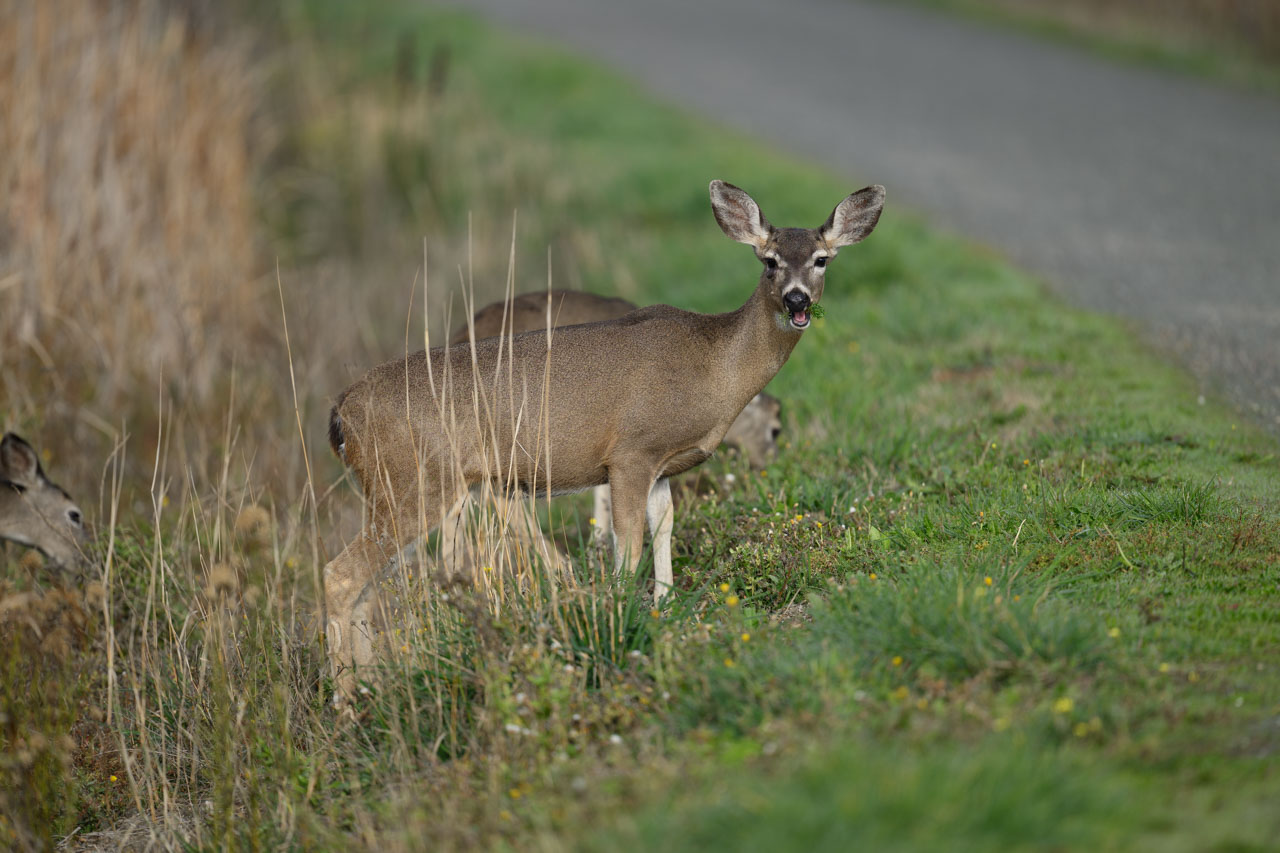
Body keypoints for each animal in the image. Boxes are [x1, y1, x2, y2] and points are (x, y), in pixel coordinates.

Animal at [323, 180, 885, 697]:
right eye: (769, 261)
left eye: (821, 260)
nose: (797, 300)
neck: (713, 366)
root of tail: (342, 413)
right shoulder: (631, 451)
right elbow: (627, 542)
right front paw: (617, 613)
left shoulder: (660, 463)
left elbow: (664, 527)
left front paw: (662, 608)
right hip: (418, 479)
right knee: (341, 575)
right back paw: (346, 705)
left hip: (404, 487)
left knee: (371, 583)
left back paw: (370, 688)